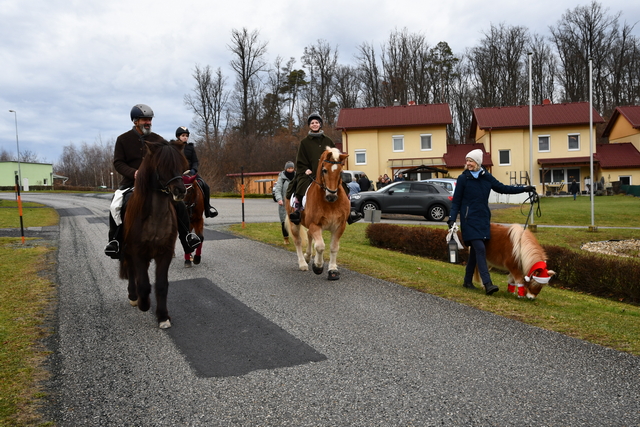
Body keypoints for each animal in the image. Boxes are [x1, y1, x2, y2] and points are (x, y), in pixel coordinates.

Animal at [119, 139, 188, 330]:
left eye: (181, 165)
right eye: (162, 166)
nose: (180, 191)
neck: (155, 216)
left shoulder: (165, 252)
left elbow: (162, 285)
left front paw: (163, 316)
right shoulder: (137, 252)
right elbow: (143, 284)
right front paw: (144, 304)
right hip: (128, 252)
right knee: (131, 271)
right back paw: (134, 297)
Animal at [286, 147, 350, 280]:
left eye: (341, 172)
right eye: (324, 170)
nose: (331, 196)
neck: (330, 203)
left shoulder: (339, 226)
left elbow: (333, 247)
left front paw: (332, 270)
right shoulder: (315, 225)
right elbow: (320, 246)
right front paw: (318, 266)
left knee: (309, 236)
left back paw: (308, 256)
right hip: (294, 223)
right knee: (298, 241)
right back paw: (303, 263)